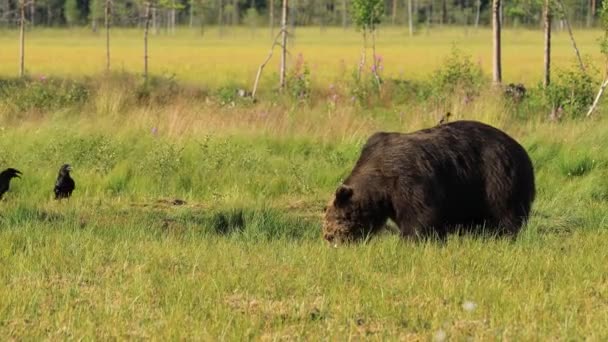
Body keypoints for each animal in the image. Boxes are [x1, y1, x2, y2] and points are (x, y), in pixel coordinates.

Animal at [324, 119, 536, 244]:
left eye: (338, 219)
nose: (328, 237)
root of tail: (523, 151)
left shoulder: (409, 181)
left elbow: (420, 216)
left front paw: (411, 239)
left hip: (496, 178)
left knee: (504, 213)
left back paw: (503, 235)